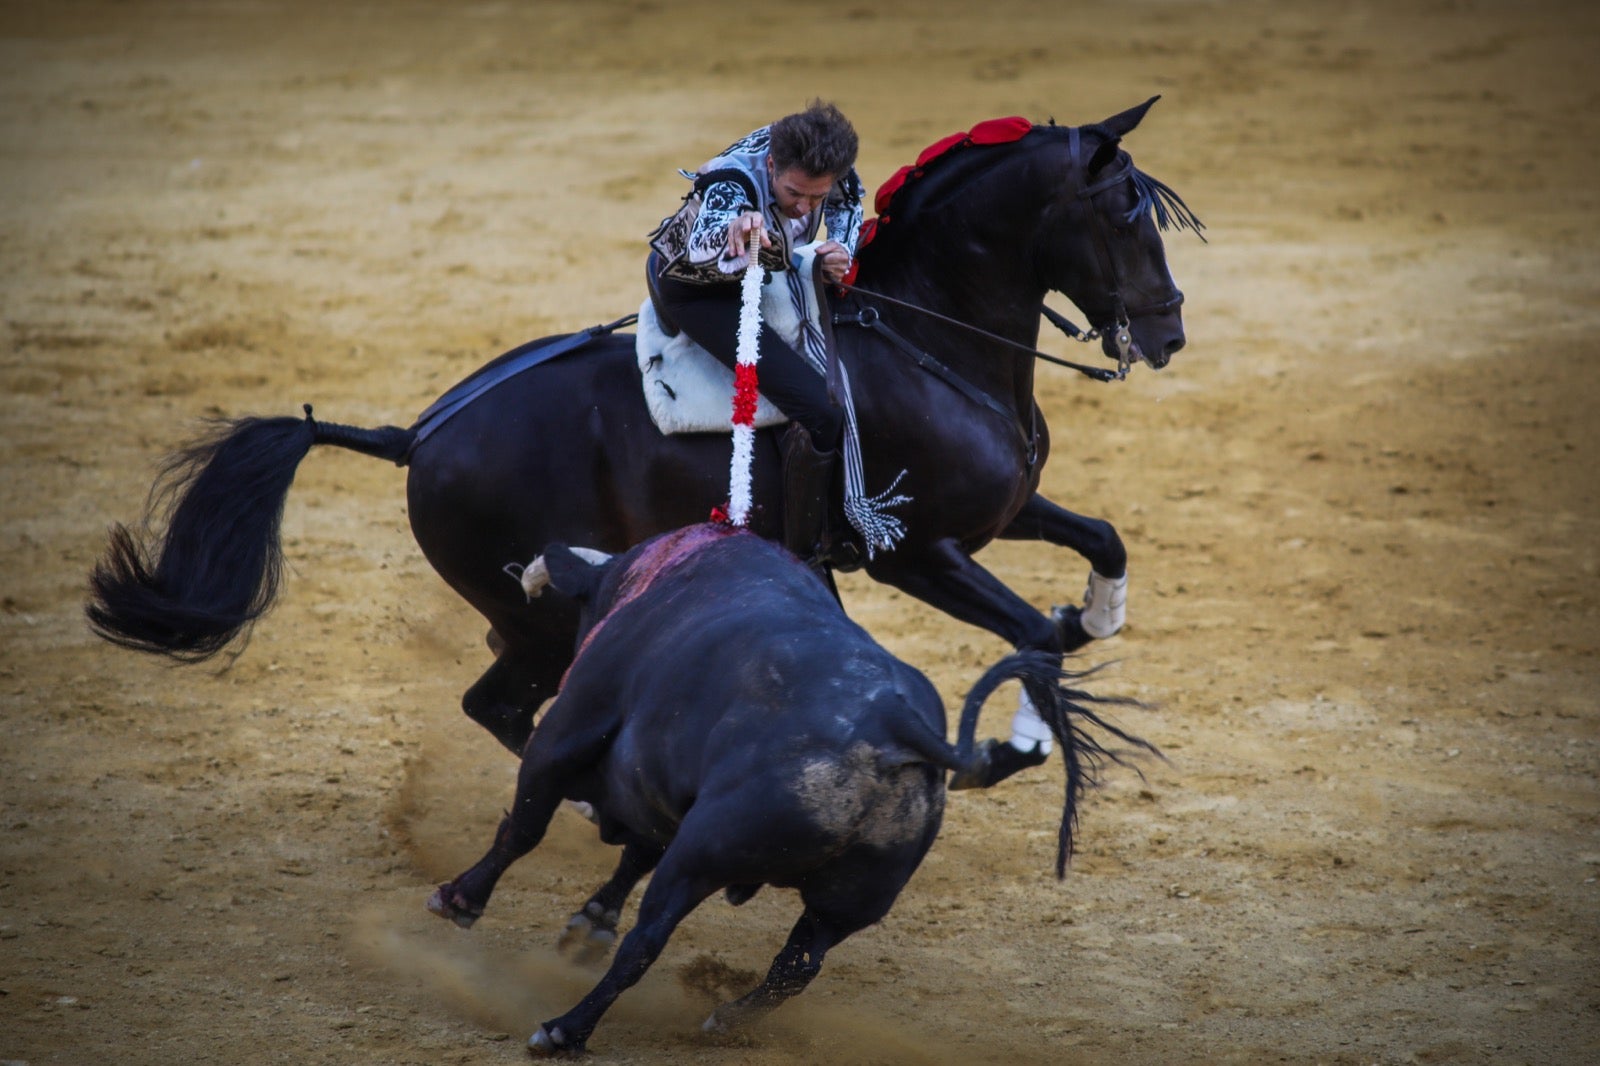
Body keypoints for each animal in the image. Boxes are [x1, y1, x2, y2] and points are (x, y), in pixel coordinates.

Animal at [81, 97, 1196, 771]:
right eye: (1120, 213)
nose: (1169, 331)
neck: (927, 337)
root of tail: (417, 436)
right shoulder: (916, 551)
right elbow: (1027, 632)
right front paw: (1031, 727)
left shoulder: (1003, 512)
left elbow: (1100, 541)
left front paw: (1096, 615)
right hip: (535, 611)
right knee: (500, 704)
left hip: (532, 607)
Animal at [425, 518, 1152, 1049]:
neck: (647, 578)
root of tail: (892, 724)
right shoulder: (662, 792)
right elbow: (632, 851)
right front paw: (587, 921)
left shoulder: (567, 733)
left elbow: (525, 826)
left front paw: (460, 899)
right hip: (848, 901)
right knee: (797, 967)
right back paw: (723, 1019)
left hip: (703, 855)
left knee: (648, 941)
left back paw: (565, 1030)